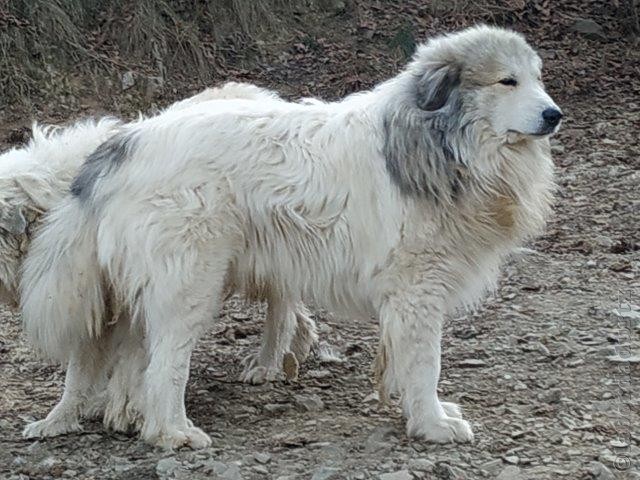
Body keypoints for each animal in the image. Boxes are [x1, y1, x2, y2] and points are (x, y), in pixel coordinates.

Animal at [1, 83, 316, 438]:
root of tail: (255, 92)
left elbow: (131, 360)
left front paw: (128, 410)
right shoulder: (99, 307)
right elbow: (79, 372)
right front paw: (57, 420)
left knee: (282, 308)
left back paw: (268, 362)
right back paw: (297, 347)